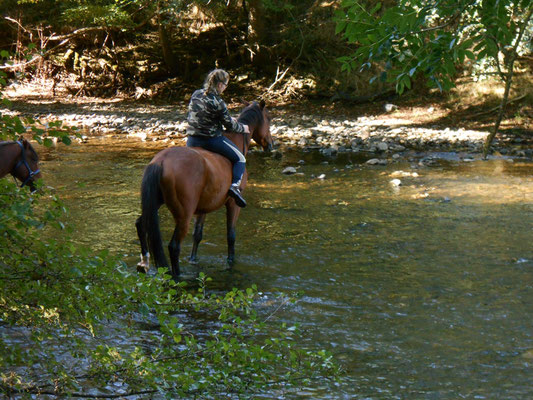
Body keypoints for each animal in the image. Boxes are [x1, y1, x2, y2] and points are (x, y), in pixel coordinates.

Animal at [135, 100, 272, 278]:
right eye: (268, 119)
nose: (271, 145)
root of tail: (161, 161)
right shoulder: (233, 204)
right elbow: (231, 235)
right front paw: (230, 261)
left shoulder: (203, 208)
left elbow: (197, 235)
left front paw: (193, 260)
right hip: (184, 215)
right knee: (174, 246)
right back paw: (177, 277)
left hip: (155, 203)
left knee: (141, 224)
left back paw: (144, 263)